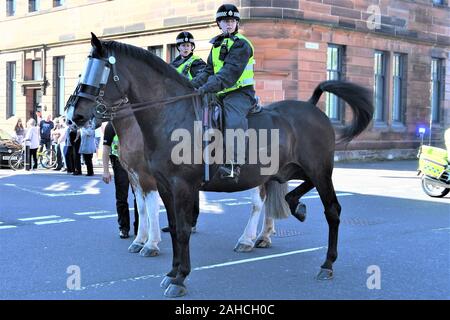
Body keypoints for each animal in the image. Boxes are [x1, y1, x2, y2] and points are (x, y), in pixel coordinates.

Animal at [71, 35, 372, 298]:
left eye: (99, 70)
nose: (76, 115)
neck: (172, 116)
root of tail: (311, 107)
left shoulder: (180, 186)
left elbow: (181, 229)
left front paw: (179, 278)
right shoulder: (164, 185)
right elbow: (173, 226)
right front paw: (171, 272)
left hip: (320, 170)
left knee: (332, 210)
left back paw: (326, 263)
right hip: (293, 169)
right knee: (288, 193)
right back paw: (293, 206)